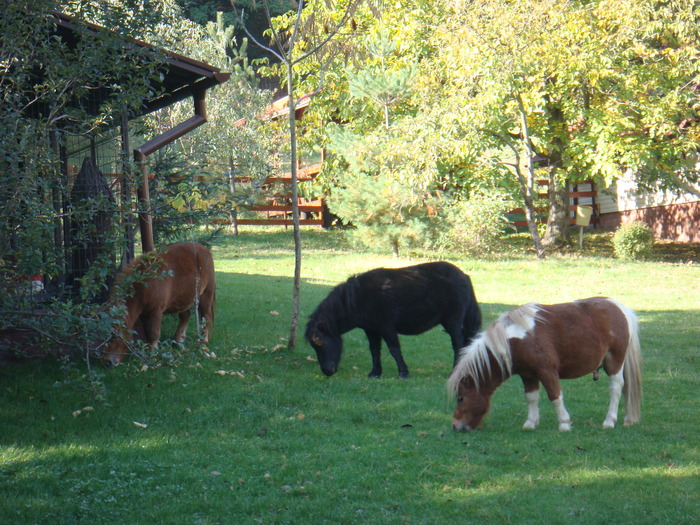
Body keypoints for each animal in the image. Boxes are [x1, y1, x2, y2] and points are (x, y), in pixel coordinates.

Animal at [306, 260, 482, 376]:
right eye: (313, 346)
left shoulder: (386, 328)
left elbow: (394, 349)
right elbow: (374, 350)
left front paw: (403, 372)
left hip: (452, 322)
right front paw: (375, 373)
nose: (327, 371)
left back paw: (455, 370)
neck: (359, 298)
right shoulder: (371, 330)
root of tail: (463, 275)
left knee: (458, 343)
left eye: (319, 342)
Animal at [448, 296, 640, 432]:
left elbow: (555, 396)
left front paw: (564, 424)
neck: (517, 339)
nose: (455, 425)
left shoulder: (547, 372)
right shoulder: (527, 375)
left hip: (614, 361)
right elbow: (531, 397)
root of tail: (619, 307)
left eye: (461, 398)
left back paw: (609, 421)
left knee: (616, 387)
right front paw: (531, 423)